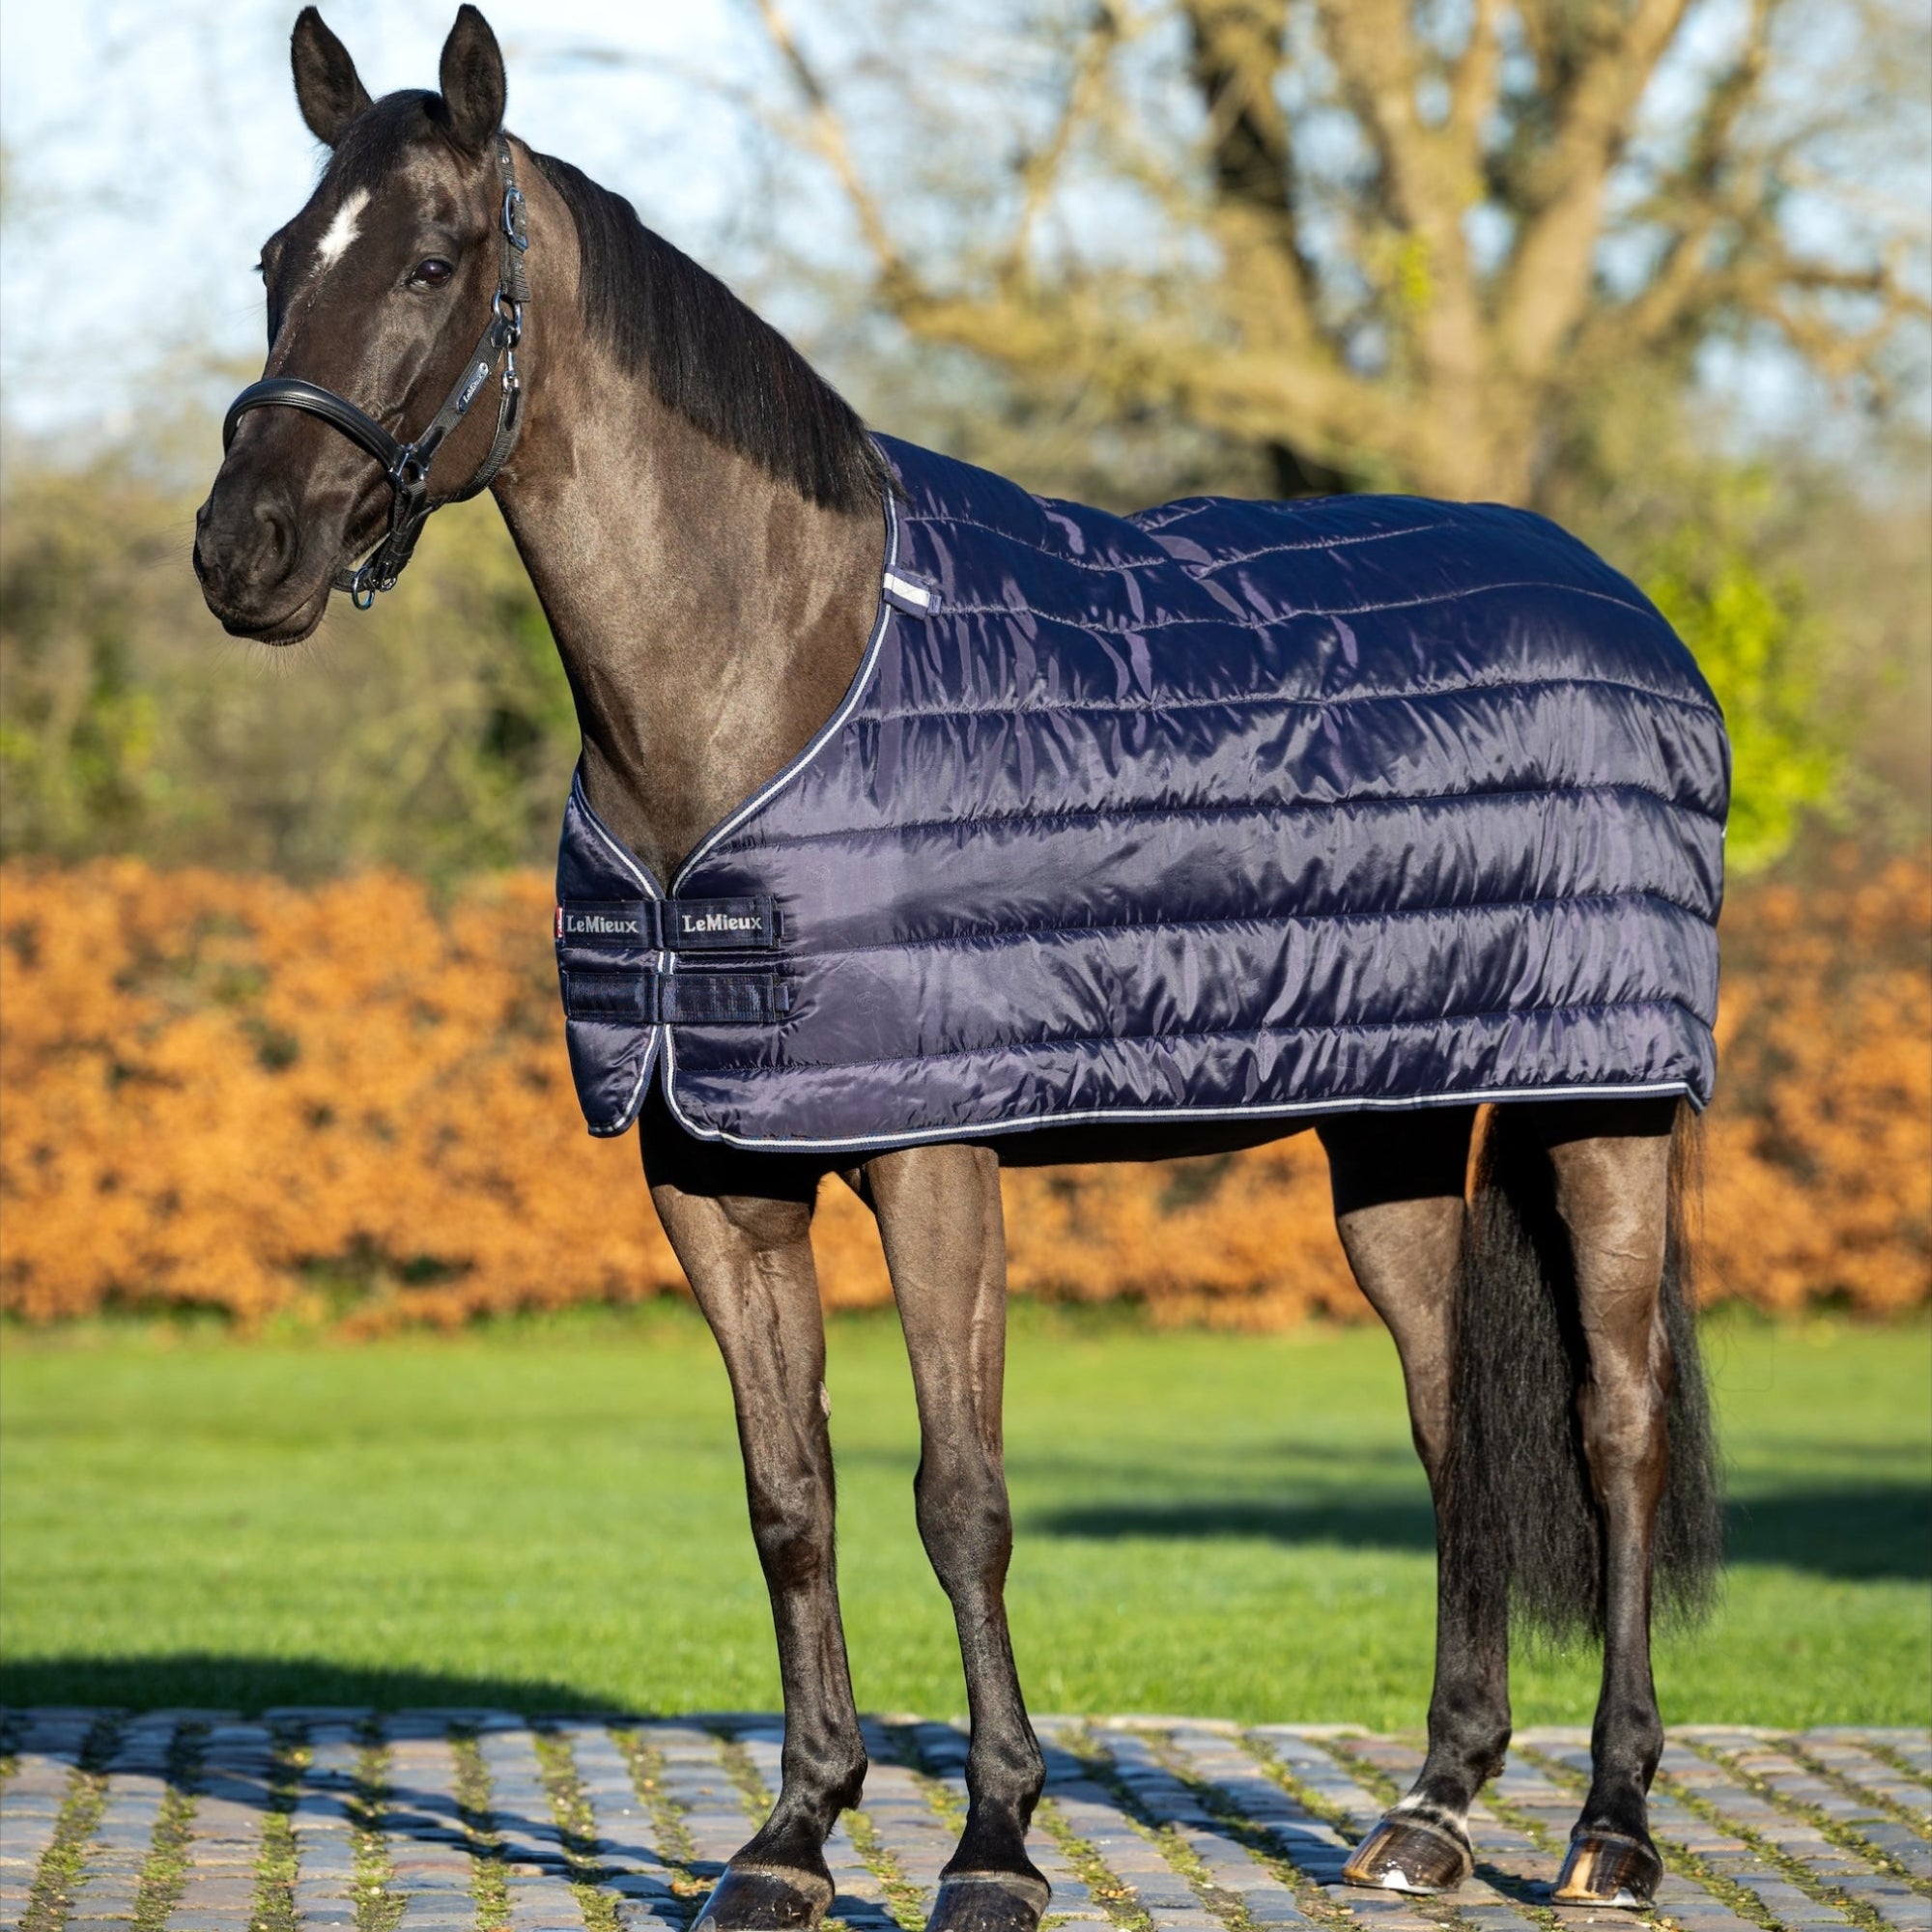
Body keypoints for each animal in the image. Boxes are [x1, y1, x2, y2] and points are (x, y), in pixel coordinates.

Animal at [193, 8, 1724, 1924]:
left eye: (430, 259)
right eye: (273, 260)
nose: (241, 550)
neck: (773, 674)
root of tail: (1624, 602)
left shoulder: (936, 1158)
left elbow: (962, 1496)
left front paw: (994, 1844)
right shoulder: (713, 1173)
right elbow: (790, 1495)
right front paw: (791, 1837)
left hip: (1610, 1109)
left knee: (1614, 1433)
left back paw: (1614, 1827)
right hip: (1390, 1127)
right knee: (1453, 1427)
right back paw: (1432, 1815)